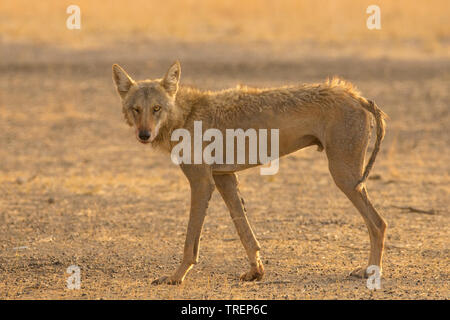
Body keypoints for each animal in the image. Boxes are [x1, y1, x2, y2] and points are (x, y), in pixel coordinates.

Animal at [111, 60, 386, 284]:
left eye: (156, 108)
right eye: (136, 109)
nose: (144, 134)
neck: (186, 115)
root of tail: (356, 96)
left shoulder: (201, 182)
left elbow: (191, 242)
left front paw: (175, 277)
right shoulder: (224, 179)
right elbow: (245, 232)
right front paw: (256, 272)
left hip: (345, 178)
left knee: (379, 224)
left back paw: (370, 271)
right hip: (349, 179)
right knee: (379, 223)